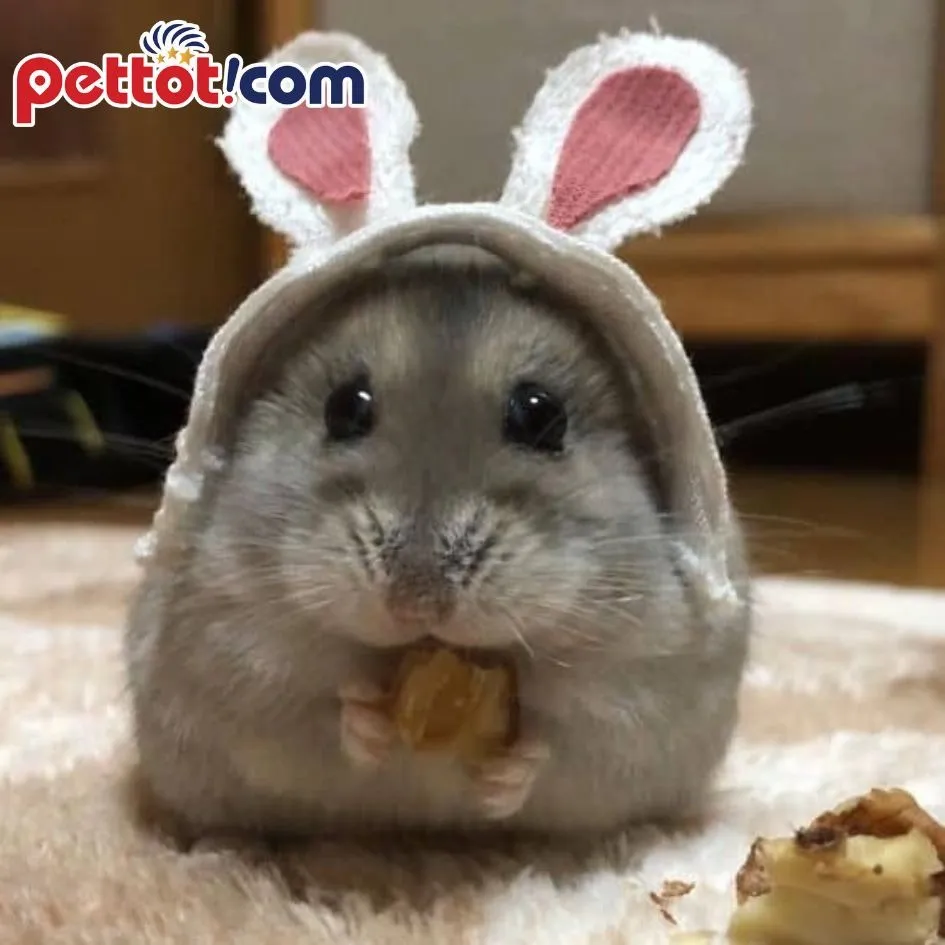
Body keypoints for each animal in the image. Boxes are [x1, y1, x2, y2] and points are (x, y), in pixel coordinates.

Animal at [125, 245, 751, 840]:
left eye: (540, 415)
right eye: (344, 406)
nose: (416, 604)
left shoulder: (638, 684)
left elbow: (562, 745)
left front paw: (507, 776)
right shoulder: (238, 648)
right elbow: (317, 715)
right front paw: (366, 720)